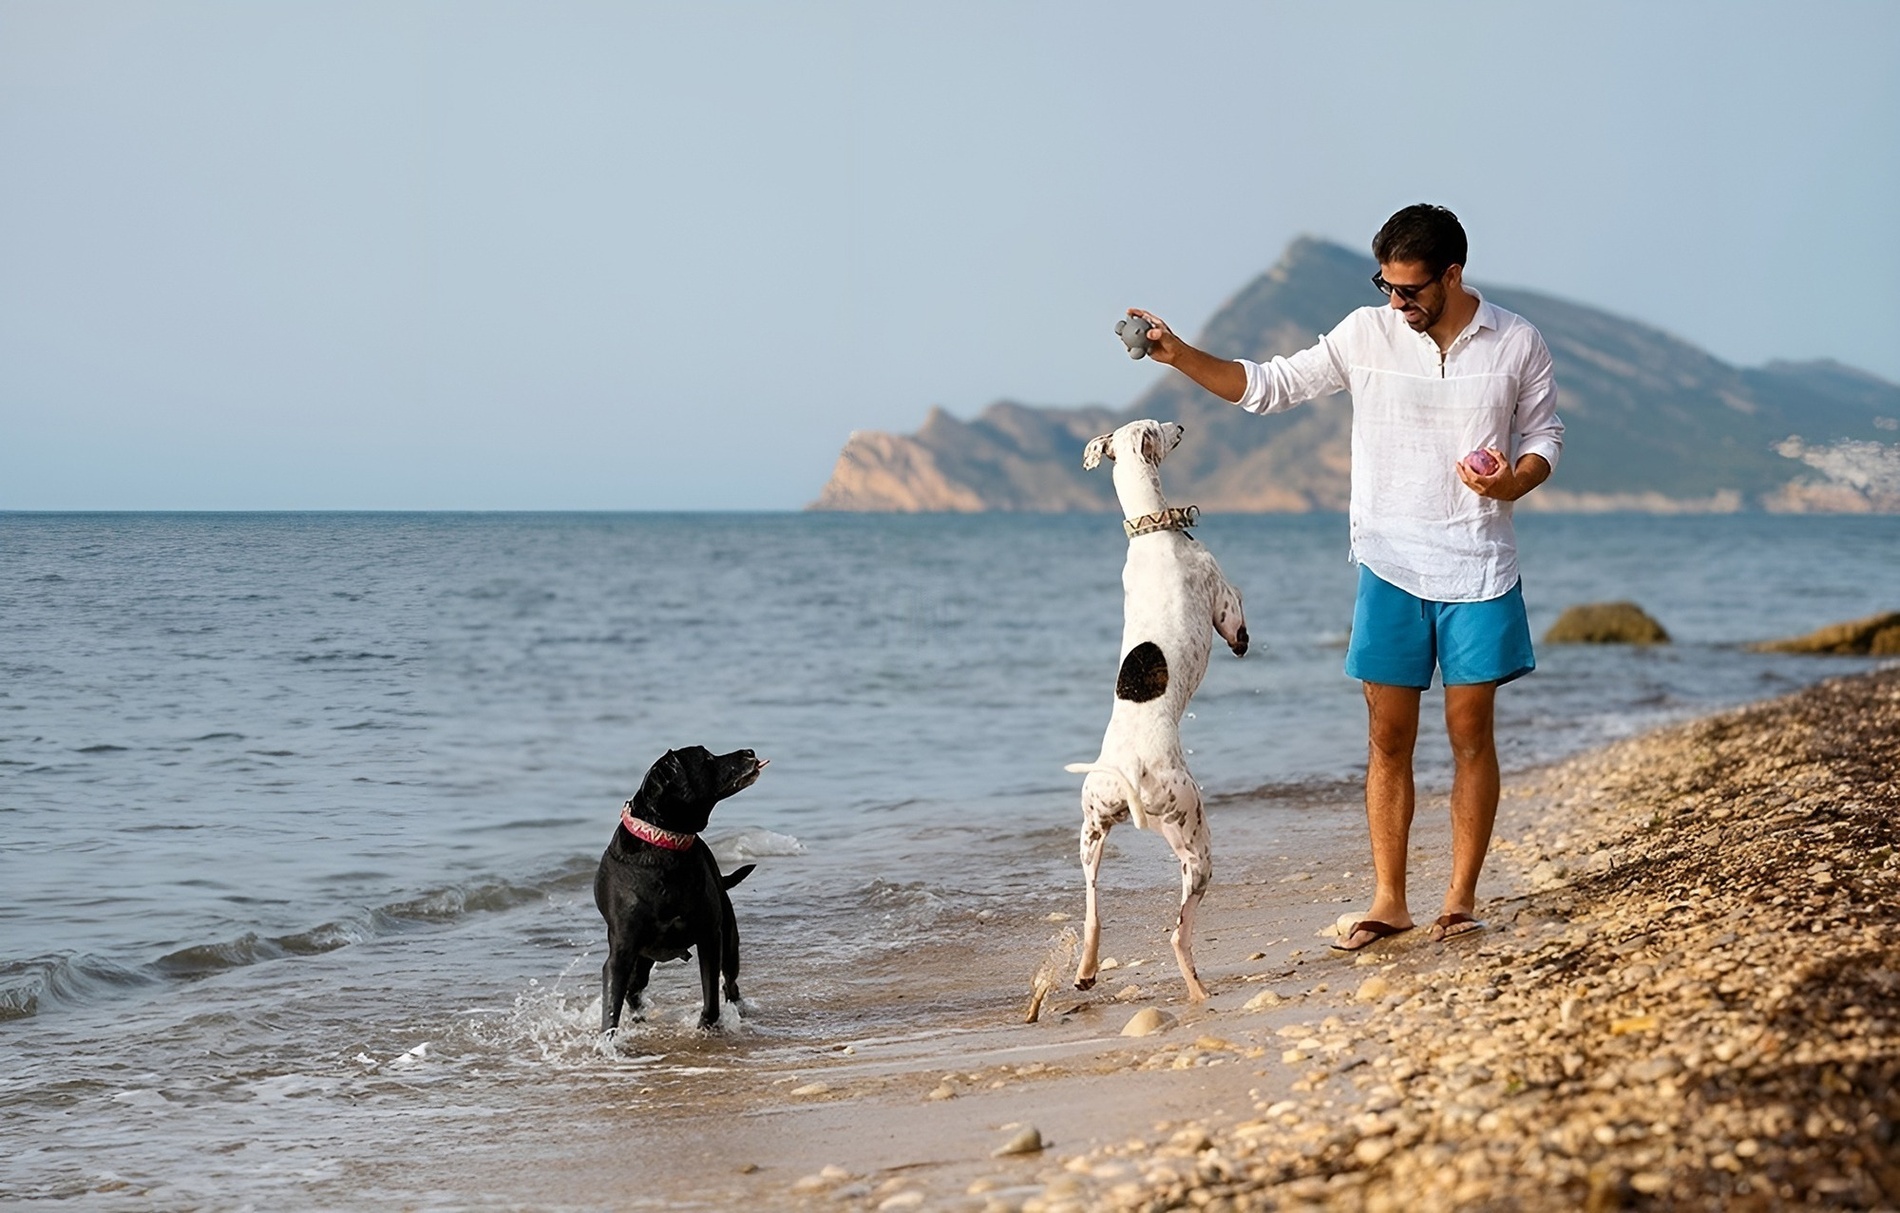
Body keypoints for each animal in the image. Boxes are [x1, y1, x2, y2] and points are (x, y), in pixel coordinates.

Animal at [596, 752, 767, 1034]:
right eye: (707, 758)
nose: (750, 752)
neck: (665, 845)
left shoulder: (710, 936)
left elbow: (711, 995)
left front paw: (706, 1026)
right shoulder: (621, 952)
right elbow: (612, 1007)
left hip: (730, 940)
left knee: (730, 983)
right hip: (642, 959)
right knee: (634, 989)